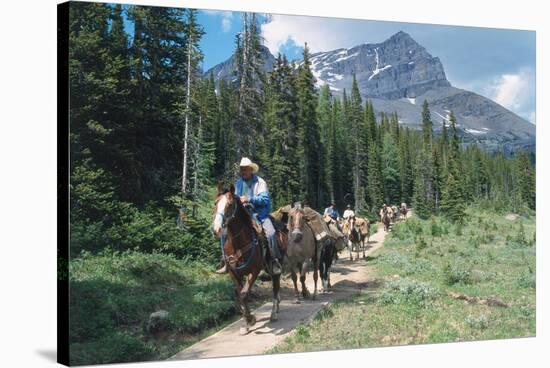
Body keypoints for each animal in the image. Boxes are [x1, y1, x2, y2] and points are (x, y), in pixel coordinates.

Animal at [212, 184, 288, 334]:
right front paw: (246, 323)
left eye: (230, 205)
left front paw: (251, 320)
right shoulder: (234, 272)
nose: (216, 229)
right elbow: (240, 294)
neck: (238, 243)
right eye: (216, 203)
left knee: (275, 286)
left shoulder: (254, 270)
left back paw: (273, 313)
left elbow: (244, 294)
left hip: (276, 265)